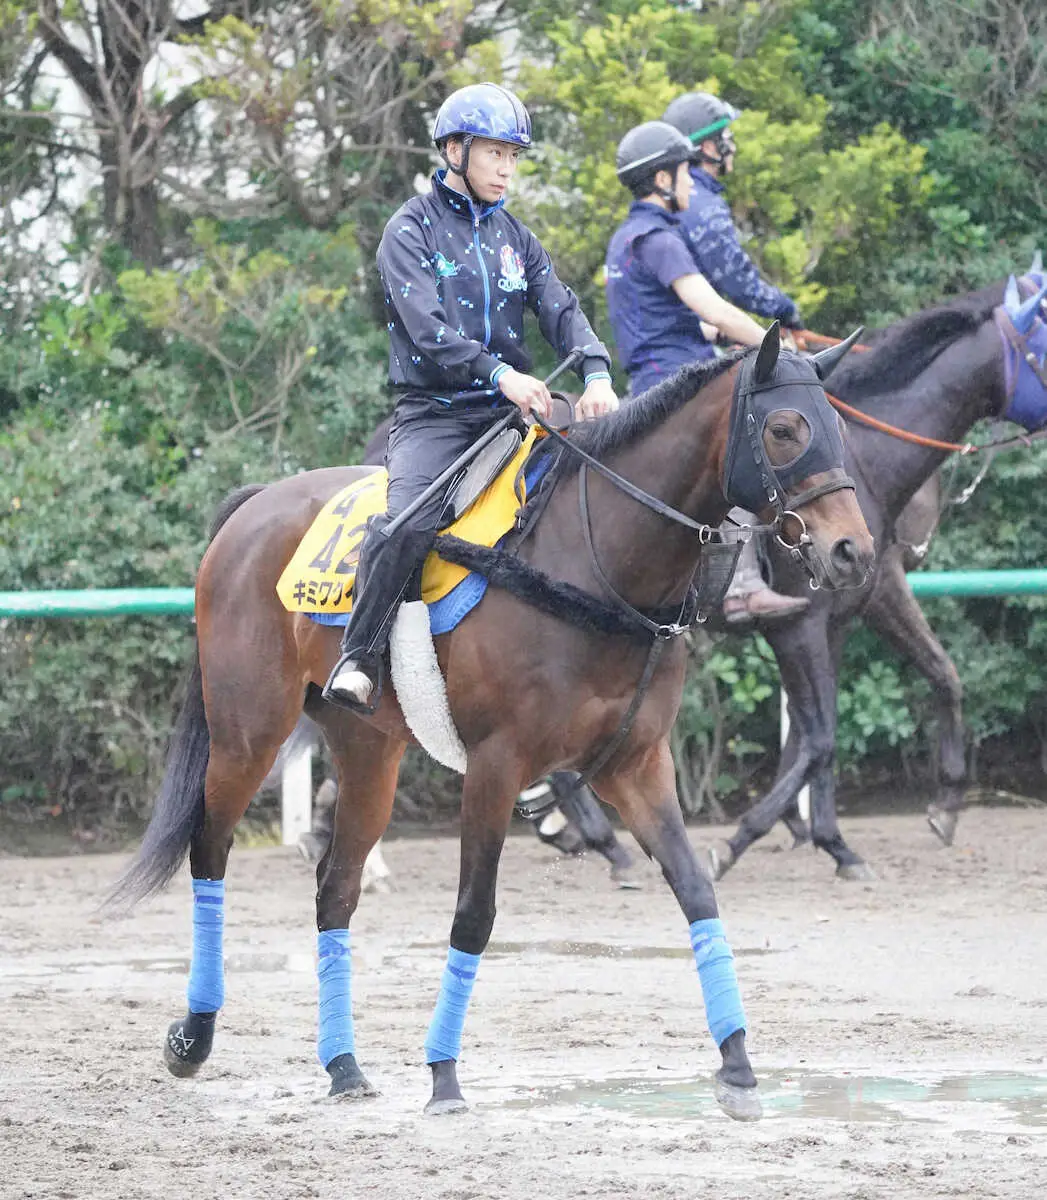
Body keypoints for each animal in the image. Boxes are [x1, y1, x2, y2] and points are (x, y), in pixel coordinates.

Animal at [110, 326, 869, 1113]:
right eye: (784, 429)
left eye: (839, 429)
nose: (852, 550)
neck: (590, 566)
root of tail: (257, 504)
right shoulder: (495, 767)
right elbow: (475, 913)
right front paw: (443, 1073)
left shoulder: (636, 763)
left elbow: (695, 889)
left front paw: (737, 1064)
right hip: (246, 733)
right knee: (209, 851)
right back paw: (194, 1037)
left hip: (369, 754)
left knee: (336, 888)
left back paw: (343, 1066)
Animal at [710, 272, 1047, 883]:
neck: (864, 465)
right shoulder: (799, 627)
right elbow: (816, 739)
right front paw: (745, 837)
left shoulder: (852, 611)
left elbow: (936, 677)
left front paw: (839, 839)